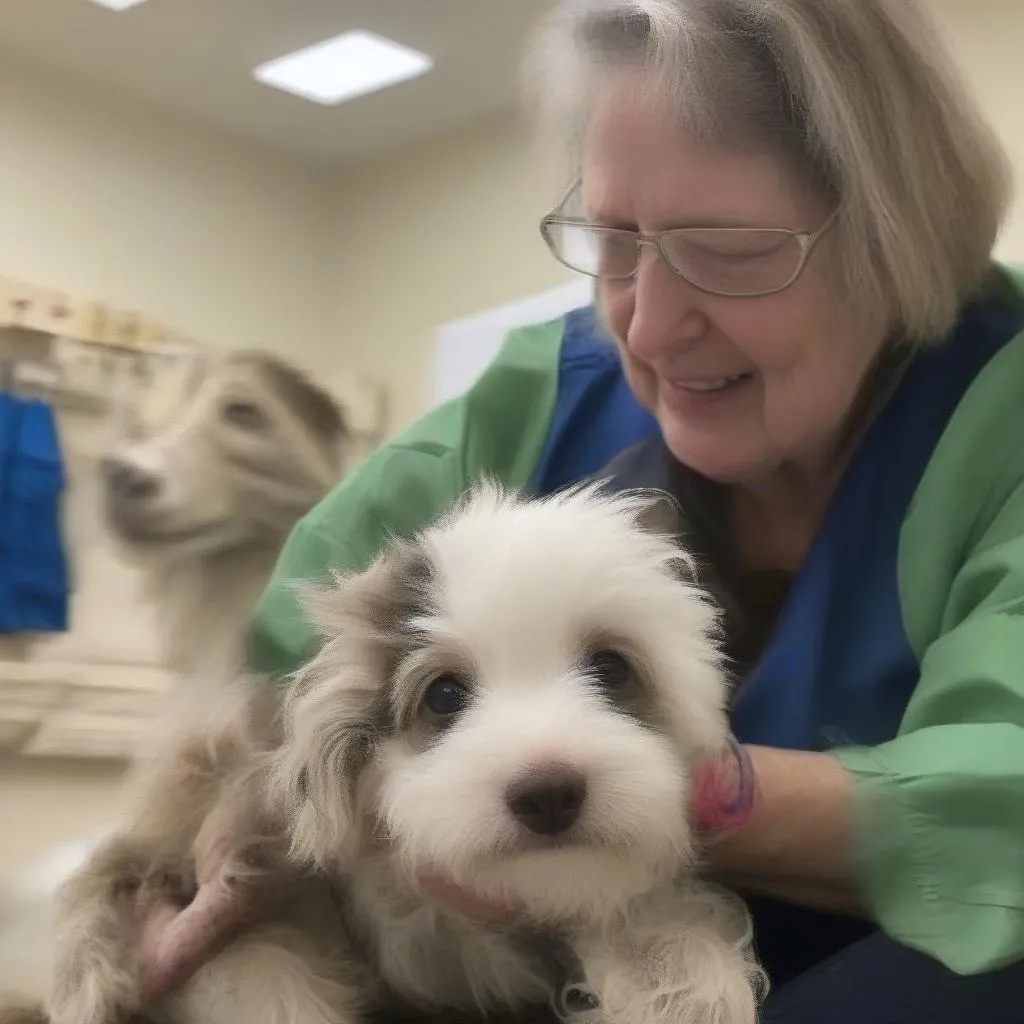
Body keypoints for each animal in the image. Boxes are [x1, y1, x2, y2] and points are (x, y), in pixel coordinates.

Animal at [4, 479, 765, 1024]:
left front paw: (686, 988)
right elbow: (263, 979)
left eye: (611, 668)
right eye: (445, 695)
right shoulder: (243, 884)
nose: (548, 792)